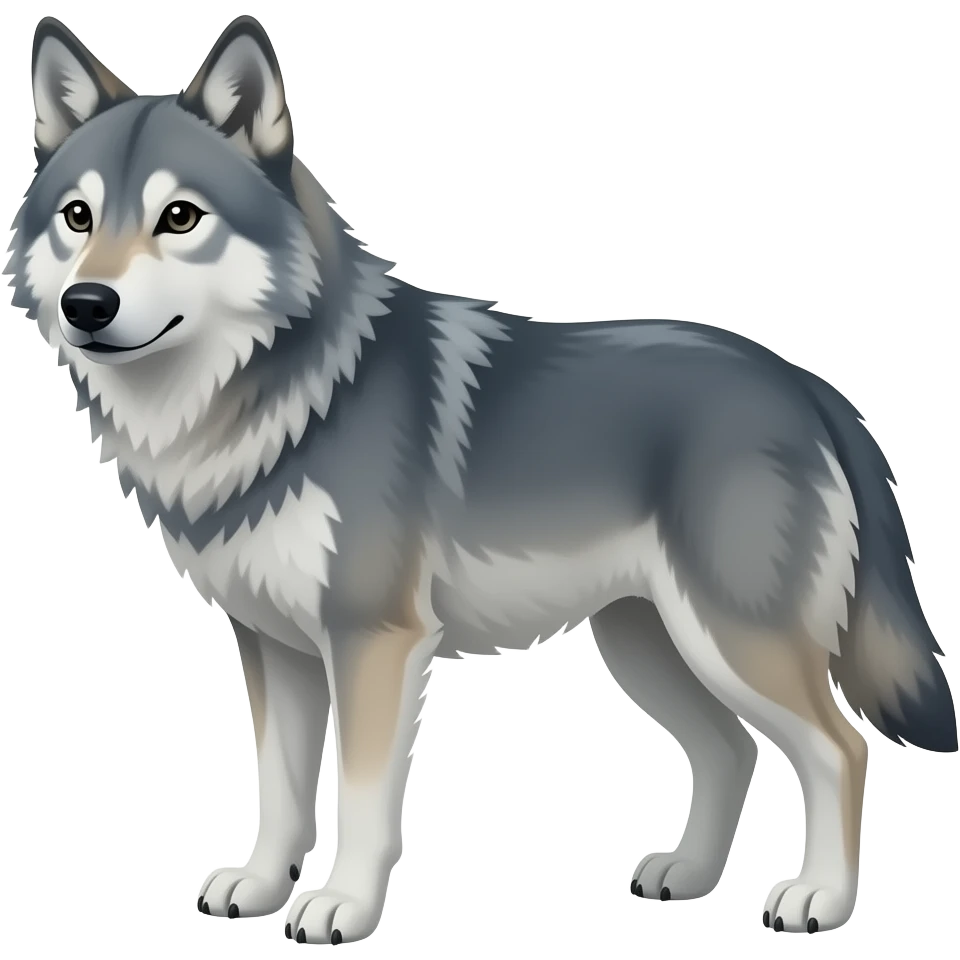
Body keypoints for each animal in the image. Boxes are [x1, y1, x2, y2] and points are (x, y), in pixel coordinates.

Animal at [5, 12, 956, 943]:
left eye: (178, 217)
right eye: (78, 216)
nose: (87, 305)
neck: (275, 400)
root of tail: (806, 385)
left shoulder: (374, 641)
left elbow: (360, 797)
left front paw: (341, 906)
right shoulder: (273, 645)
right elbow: (279, 788)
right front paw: (262, 885)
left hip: (730, 640)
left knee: (840, 747)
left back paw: (818, 899)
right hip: (649, 645)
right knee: (732, 748)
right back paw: (687, 876)